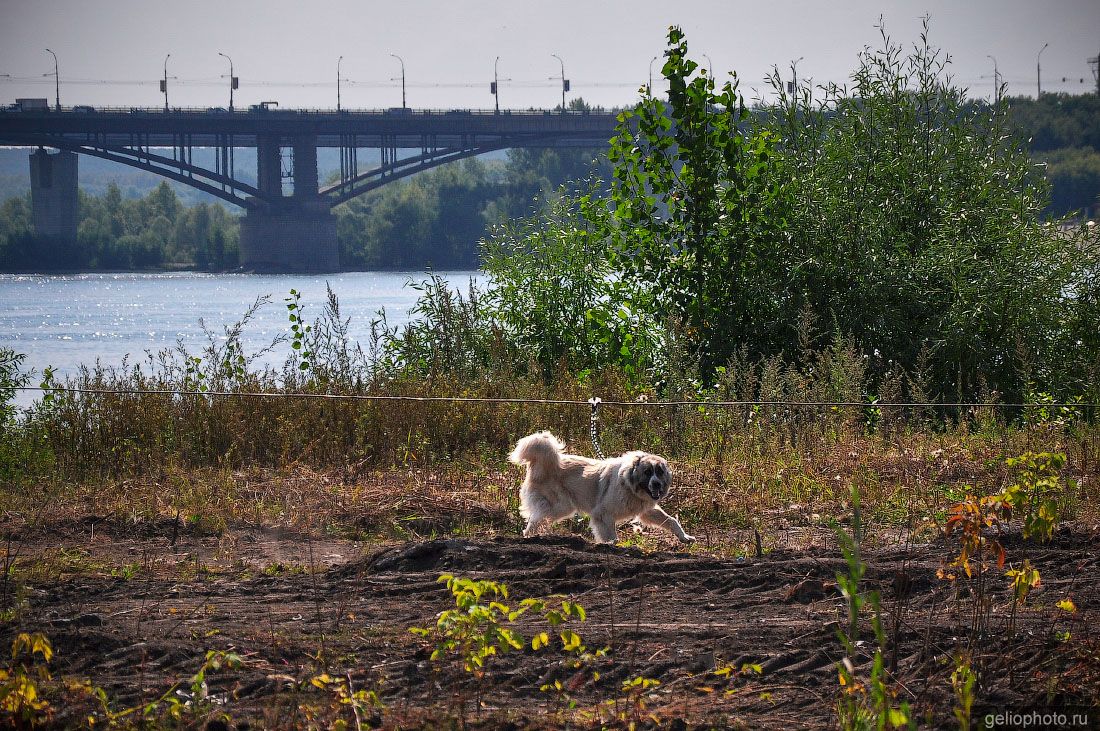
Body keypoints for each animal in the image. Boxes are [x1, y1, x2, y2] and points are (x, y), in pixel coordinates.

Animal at [508, 430, 695, 545]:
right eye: (648, 472)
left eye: (660, 472)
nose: (656, 484)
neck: (629, 485)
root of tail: (545, 462)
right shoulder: (603, 514)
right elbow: (612, 537)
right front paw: (611, 546)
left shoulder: (646, 510)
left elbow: (671, 520)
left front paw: (684, 537)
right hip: (561, 506)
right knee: (535, 518)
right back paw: (531, 537)